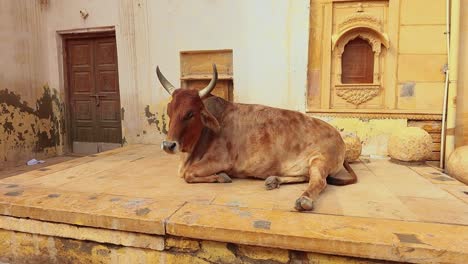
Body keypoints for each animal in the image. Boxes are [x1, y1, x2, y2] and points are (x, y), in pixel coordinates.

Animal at [155, 63, 356, 210]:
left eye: (190, 113)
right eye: (169, 110)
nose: (168, 145)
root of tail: (338, 136)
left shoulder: (220, 160)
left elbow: (188, 174)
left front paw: (222, 177)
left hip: (320, 160)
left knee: (319, 182)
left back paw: (304, 200)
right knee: (307, 177)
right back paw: (273, 180)